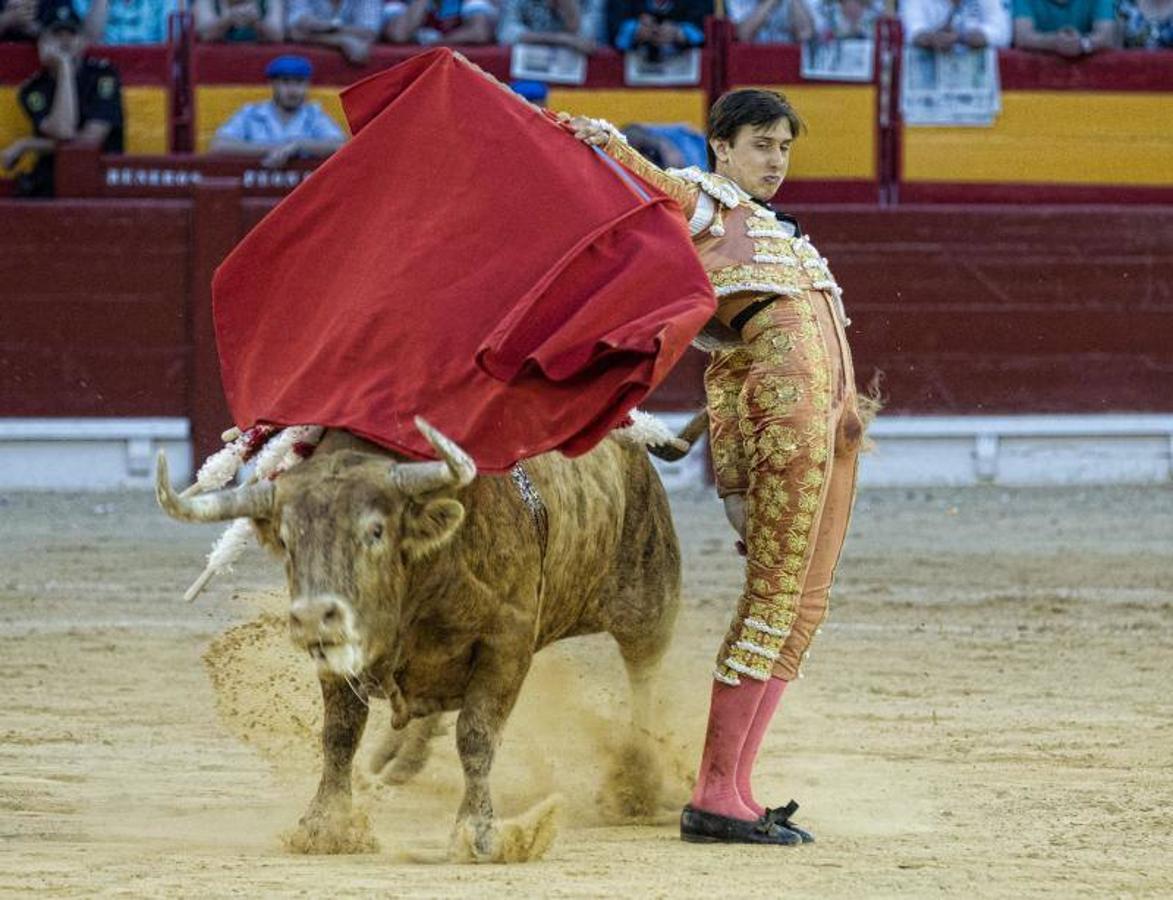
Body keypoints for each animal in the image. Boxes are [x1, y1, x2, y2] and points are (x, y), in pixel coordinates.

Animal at [160, 420, 685, 858]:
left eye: (375, 531)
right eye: (287, 539)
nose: (313, 618)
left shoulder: (507, 644)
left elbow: (476, 735)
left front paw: (477, 832)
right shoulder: (339, 658)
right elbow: (339, 734)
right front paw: (325, 826)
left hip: (647, 594)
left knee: (645, 672)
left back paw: (637, 783)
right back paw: (399, 757)